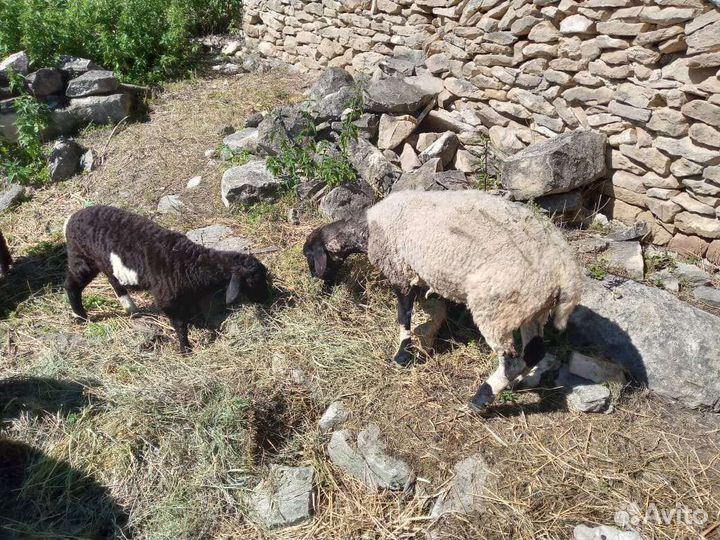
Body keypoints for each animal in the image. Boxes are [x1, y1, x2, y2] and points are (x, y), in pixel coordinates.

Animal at [63, 205, 270, 353]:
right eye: (253, 282)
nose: (267, 298)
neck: (188, 261)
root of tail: (72, 218)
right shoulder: (167, 299)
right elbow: (180, 324)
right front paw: (185, 349)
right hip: (81, 256)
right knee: (72, 285)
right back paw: (81, 316)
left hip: (101, 262)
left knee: (113, 279)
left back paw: (131, 309)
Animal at [303, 190, 583, 412]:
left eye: (309, 254)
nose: (315, 279)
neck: (369, 230)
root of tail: (565, 269)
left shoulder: (400, 269)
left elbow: (404, 315)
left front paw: (402, 354)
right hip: (530, 308)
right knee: (533, 352)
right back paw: (514, 383)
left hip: (497, 306)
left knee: (512, 361)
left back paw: (480, 400)